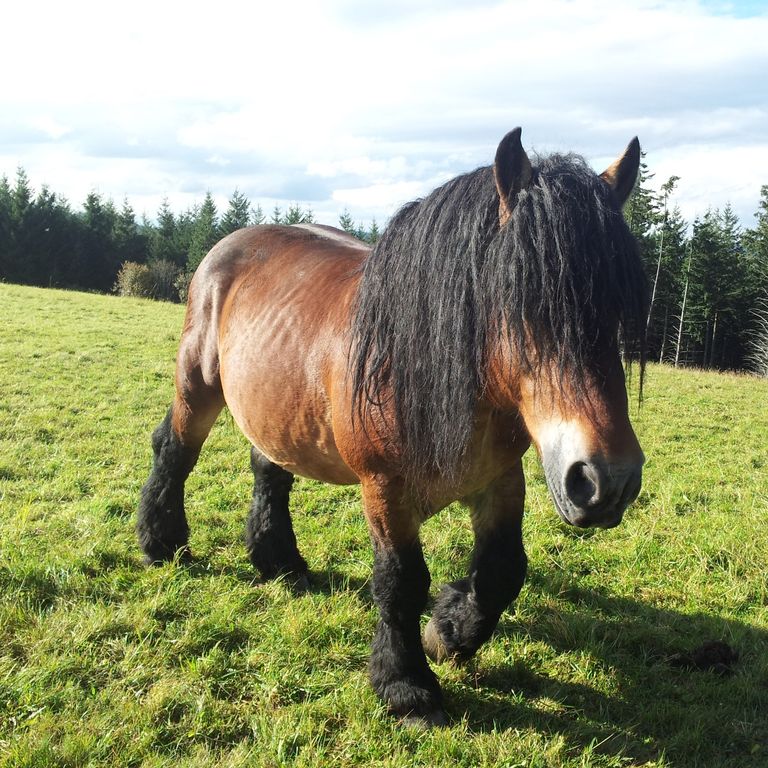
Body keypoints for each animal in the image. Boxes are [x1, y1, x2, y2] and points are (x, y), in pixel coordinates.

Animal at [136, 127, 648, 728]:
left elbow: (502, 570)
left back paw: (279, 562)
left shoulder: (501, 479)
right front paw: (407, 687)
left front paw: (447, 633)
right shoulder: (385, 489)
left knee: (271, 470)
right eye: (526, 300)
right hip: (198, 383)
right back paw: (161, 543)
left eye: (618, 309)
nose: (607, 481)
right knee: (175, 451)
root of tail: (228, 244)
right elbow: (402, 581)